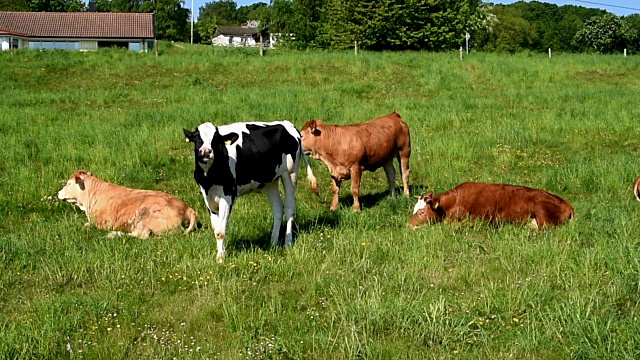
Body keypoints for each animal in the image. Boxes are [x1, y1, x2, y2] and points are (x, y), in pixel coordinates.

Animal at [57, 170, 198, 238]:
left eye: (69, 184)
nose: (58, 193)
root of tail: (187, 208)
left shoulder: (103, 223)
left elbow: (86, 225)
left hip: (145, 217)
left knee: (142, 235)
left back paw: (114, 234)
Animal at [182, 119, 318, 262]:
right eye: (197, 138)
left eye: (216, 139)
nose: (206, 152)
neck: (209, 176)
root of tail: (287, 123)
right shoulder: (207, 196)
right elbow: (216, 227)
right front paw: (220, 253)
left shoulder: (228, 195)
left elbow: (220, 231)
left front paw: (220, 259)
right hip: (271, 181)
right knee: (278, 207)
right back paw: (273, 242)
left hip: (291, 173)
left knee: (289, 207)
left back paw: (288, 242)